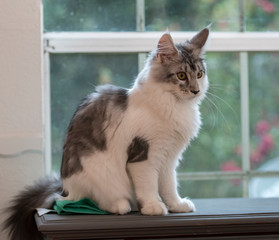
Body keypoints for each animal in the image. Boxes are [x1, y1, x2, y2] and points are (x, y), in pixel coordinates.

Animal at [3, 26, 210, 240]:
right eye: (181, 76)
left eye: (199, 74)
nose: (196, 91)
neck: (174, 106)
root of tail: (64, 188)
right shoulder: (144, 156)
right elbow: (149, 185)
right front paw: (153, 206)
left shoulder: (169, 158)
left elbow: (169, 186)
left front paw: (177, 205)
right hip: (101, 173)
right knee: (93, 200)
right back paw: (121, 206)